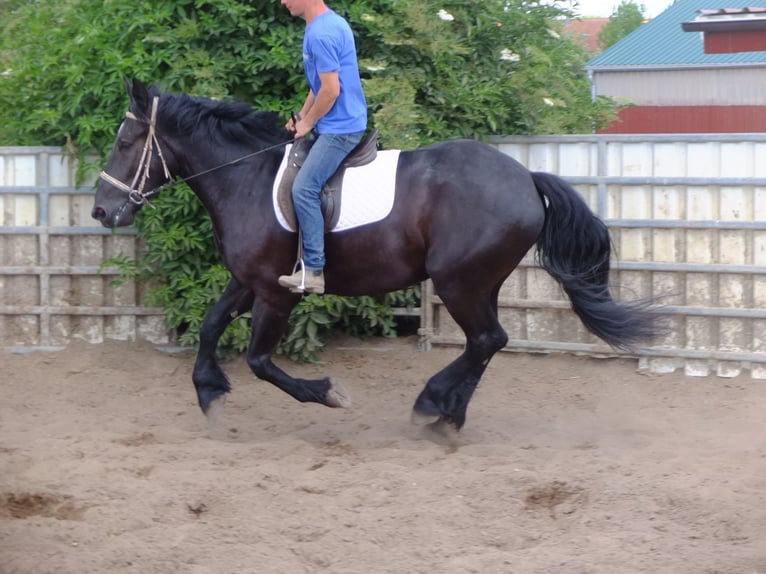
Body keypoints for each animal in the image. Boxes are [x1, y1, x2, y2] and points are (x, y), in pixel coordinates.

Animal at [91, 80, 660, 432]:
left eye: (125, 141)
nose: (101, 210)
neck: (245, 178)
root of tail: (525, 178)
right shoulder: (249, 281)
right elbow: (210, 327)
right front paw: (209, 392)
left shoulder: (277, 293)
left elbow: (259, 361)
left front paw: (327, 393)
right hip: (479, 282)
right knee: (486, 342)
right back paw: (448, 415)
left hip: (459, 282)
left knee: (486, 340)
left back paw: (433, 406)